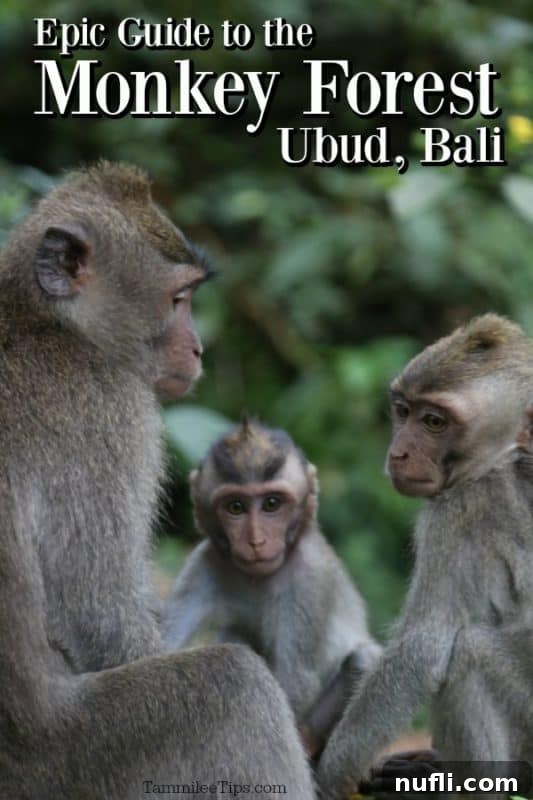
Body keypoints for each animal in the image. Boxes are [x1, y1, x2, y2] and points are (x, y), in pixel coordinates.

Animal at [0, 162, 315, 799]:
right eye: (178, 299)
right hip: (72, 764)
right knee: (234, 685)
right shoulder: (110, 411)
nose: (198, 348)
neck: (45, 322)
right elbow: (99, 615)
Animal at [162, 419, 383, 760]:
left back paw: (308, 740)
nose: (256, 541)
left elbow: (298, 685)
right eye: (235, 507)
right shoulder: (204, 564)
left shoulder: (309, 576)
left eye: (272, 504)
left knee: (363, 659)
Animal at [317, 313, 533, 800]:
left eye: (435, 422)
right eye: (403, 411)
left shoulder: (456, 511)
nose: (398, 453)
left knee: (471, 654)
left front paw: (331, 773)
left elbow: (425, 643)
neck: (506, 458)